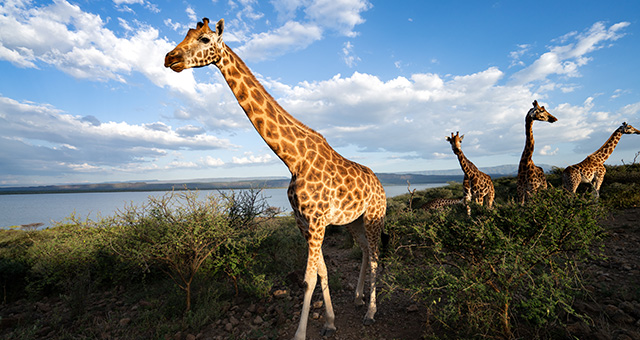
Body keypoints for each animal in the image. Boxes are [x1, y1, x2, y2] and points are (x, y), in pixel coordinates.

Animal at [164, 17, 384, 340]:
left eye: (204, 39)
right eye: (186, 35)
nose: (170, 58)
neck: (293, 159)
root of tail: (380, 183)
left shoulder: (316, 221)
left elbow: (308, 278)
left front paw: (301, 333)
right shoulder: (303, 221)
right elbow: (321, 271)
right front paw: (330, 322)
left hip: (374, 217)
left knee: (376, 256)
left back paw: (370, 312)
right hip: (353, 221)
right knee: (367, 251)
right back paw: (357, 299)